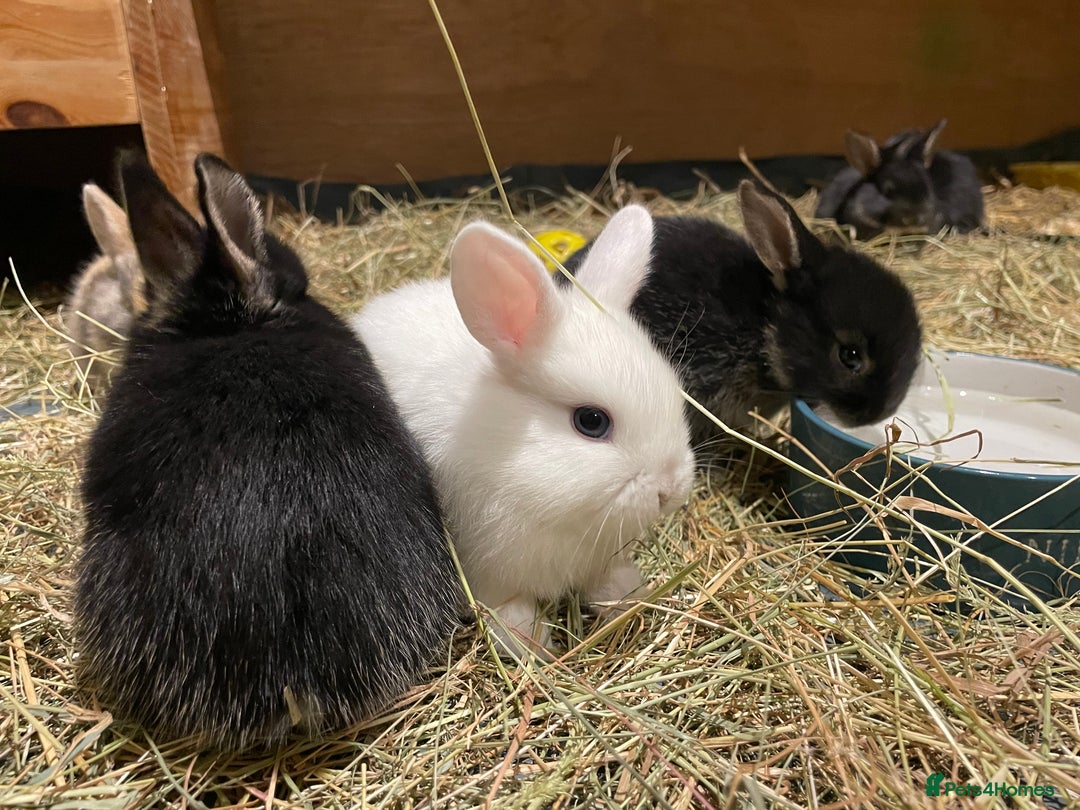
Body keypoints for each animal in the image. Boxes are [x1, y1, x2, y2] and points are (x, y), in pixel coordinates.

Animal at [351, 206, 696, 658]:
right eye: (591, 421)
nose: (670, 489)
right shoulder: (491, 572)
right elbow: (512, 613)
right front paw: (537, 648)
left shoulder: (597, 558)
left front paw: (630, 593)